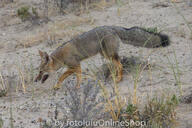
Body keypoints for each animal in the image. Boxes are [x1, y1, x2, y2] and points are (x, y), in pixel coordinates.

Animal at [34, 25, 170, 89]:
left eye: (41, 71)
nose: (35, 80)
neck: (60, 56)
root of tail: (111, 27)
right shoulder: (76, 67)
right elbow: (73, 76)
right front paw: (71, 86)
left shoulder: (75, 65)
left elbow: (63, 75)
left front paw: (68, 86)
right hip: (105, 55)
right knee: (117, 64)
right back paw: (114, 77)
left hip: (108, 54)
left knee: (120, 64)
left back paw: (119, 79)